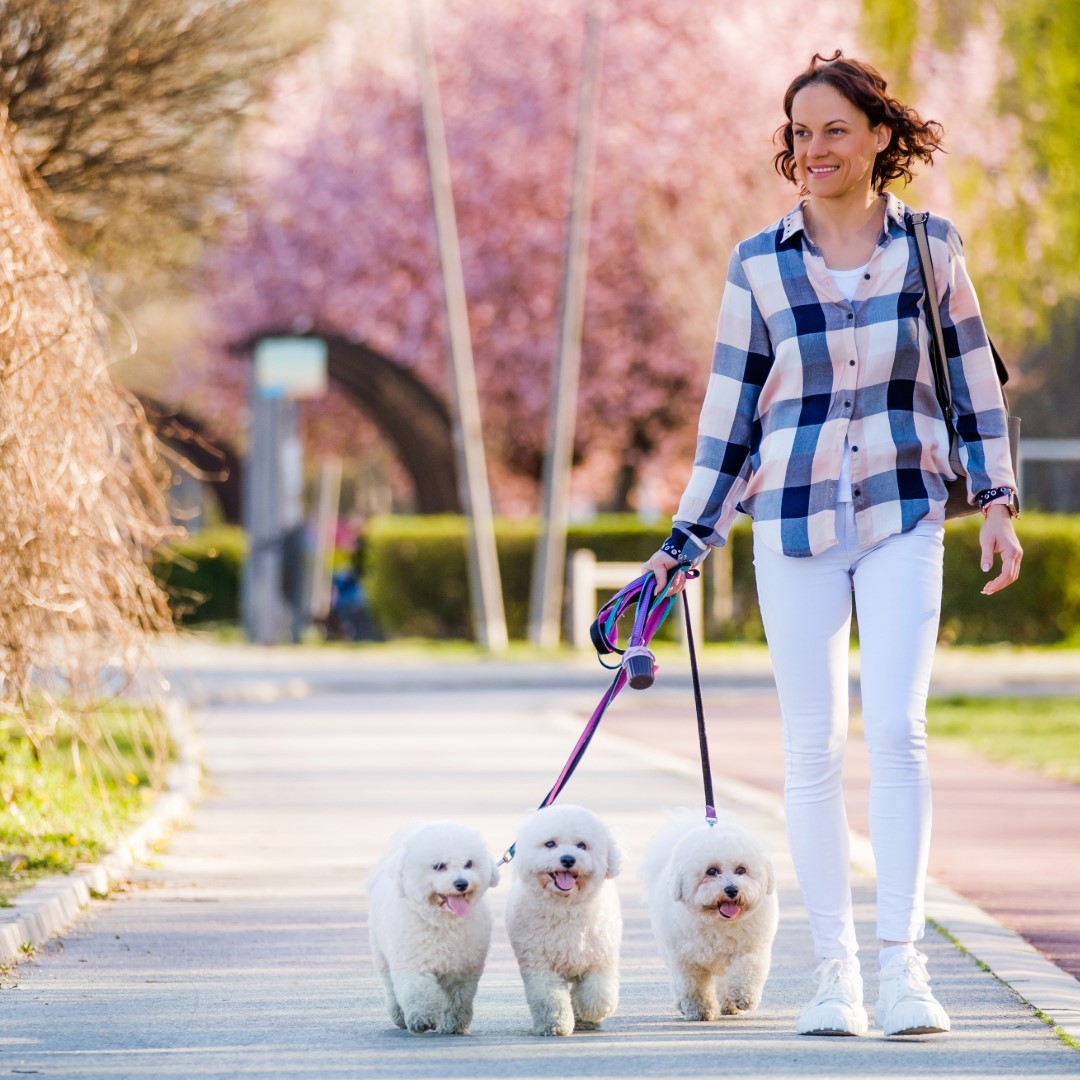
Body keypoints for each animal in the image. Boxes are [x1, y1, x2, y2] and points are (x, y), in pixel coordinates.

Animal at [362, 820, 496, 1032]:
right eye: (439, 866)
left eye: (469, 863)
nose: (461, 883)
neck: (443, 920)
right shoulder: (413, 961)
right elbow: (418, 989)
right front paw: (421, 1018)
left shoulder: (463, 967)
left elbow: (458, 998)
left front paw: (453, 1024)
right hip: (381, 952)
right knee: (390, 985)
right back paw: (398, 1014)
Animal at [505, 807, 626, 1032]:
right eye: (550, 844)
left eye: (582, 845)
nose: (568, 859)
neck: (566, 907)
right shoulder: (539, 963)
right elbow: (550, 998)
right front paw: (556, 1023)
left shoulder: (601, 956)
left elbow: (599, 995)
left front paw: (590, 1012)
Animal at [635, 816, 781, 1019]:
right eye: (711, 871)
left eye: (741, 869)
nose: (731, 890)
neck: (719, 922)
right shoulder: (687, 961)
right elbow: (694, 987)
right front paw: (699, 1010)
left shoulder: (751, 948)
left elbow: (748, 969)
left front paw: (744, 996)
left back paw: (729, 1004)